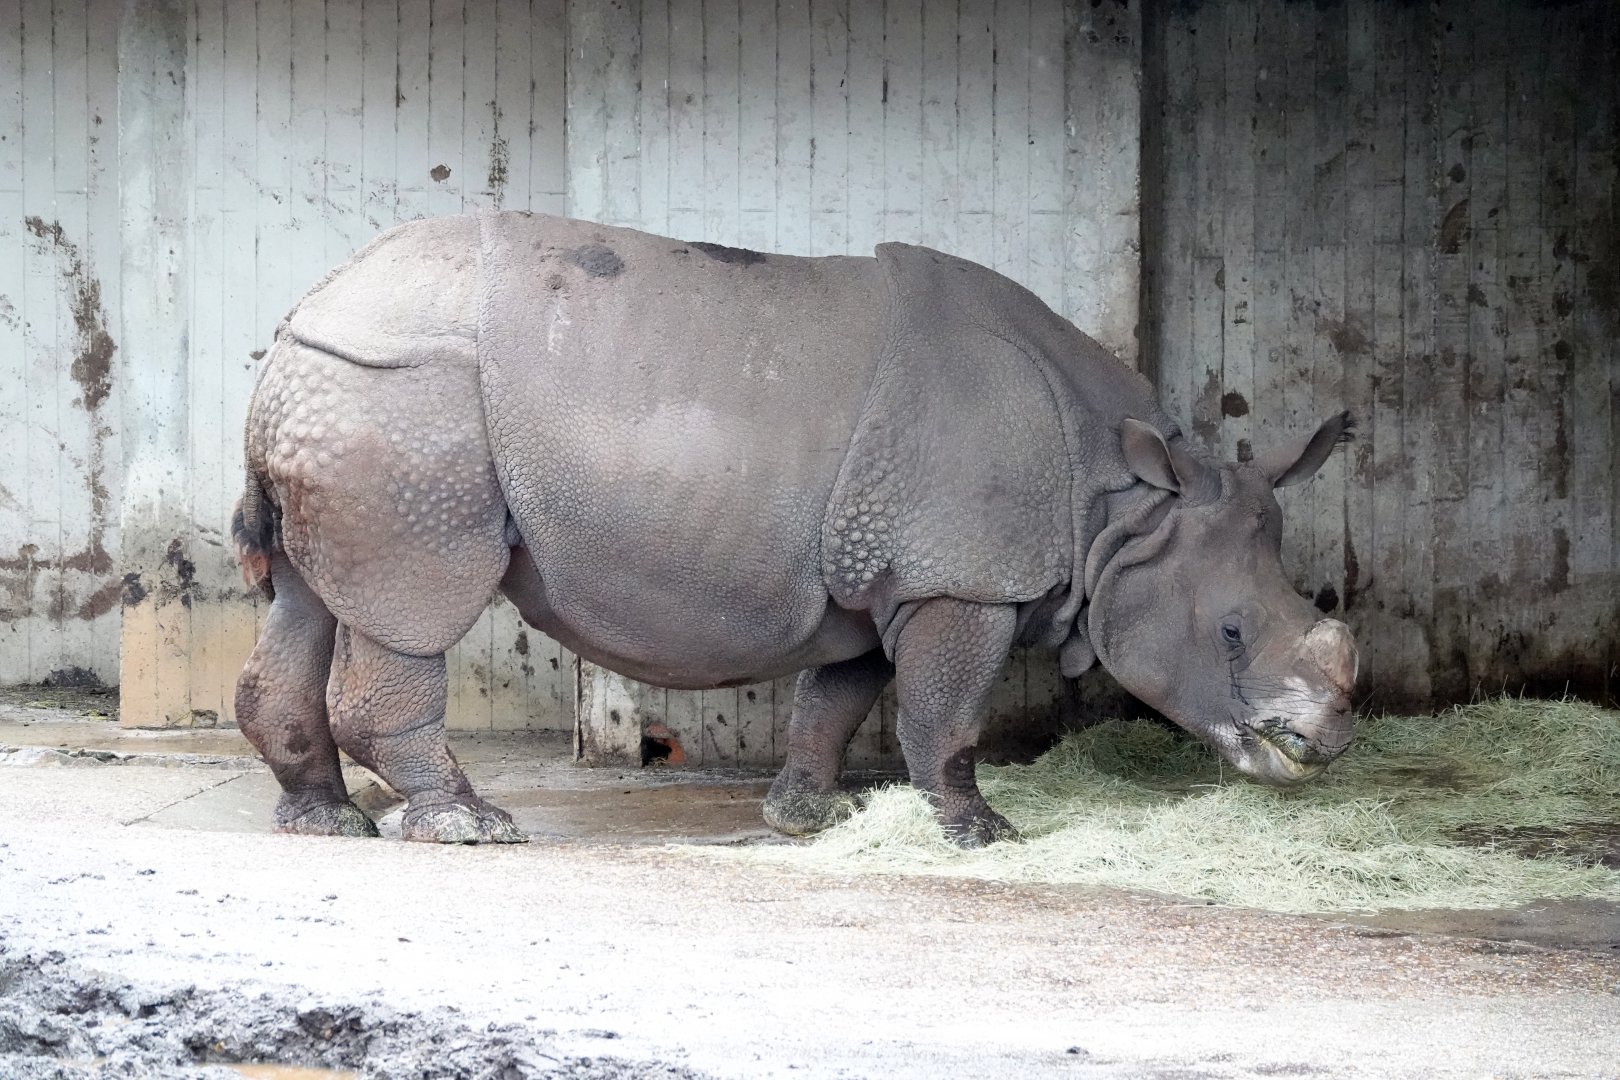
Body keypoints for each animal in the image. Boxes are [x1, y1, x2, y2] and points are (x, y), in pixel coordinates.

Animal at [232, 211, 1359, 847]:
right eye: (1229, 633)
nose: (1324, 746)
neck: (1122, 511)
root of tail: (303, 313)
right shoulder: (959, 580)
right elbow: (946, 715)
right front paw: (983, 834)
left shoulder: (881, 577)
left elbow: (838, 701)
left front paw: (805, 818)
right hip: (407, 404)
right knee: (413, 605)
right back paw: (468, 828)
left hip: (353, 392)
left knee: (306, 596)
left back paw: (325, 821)